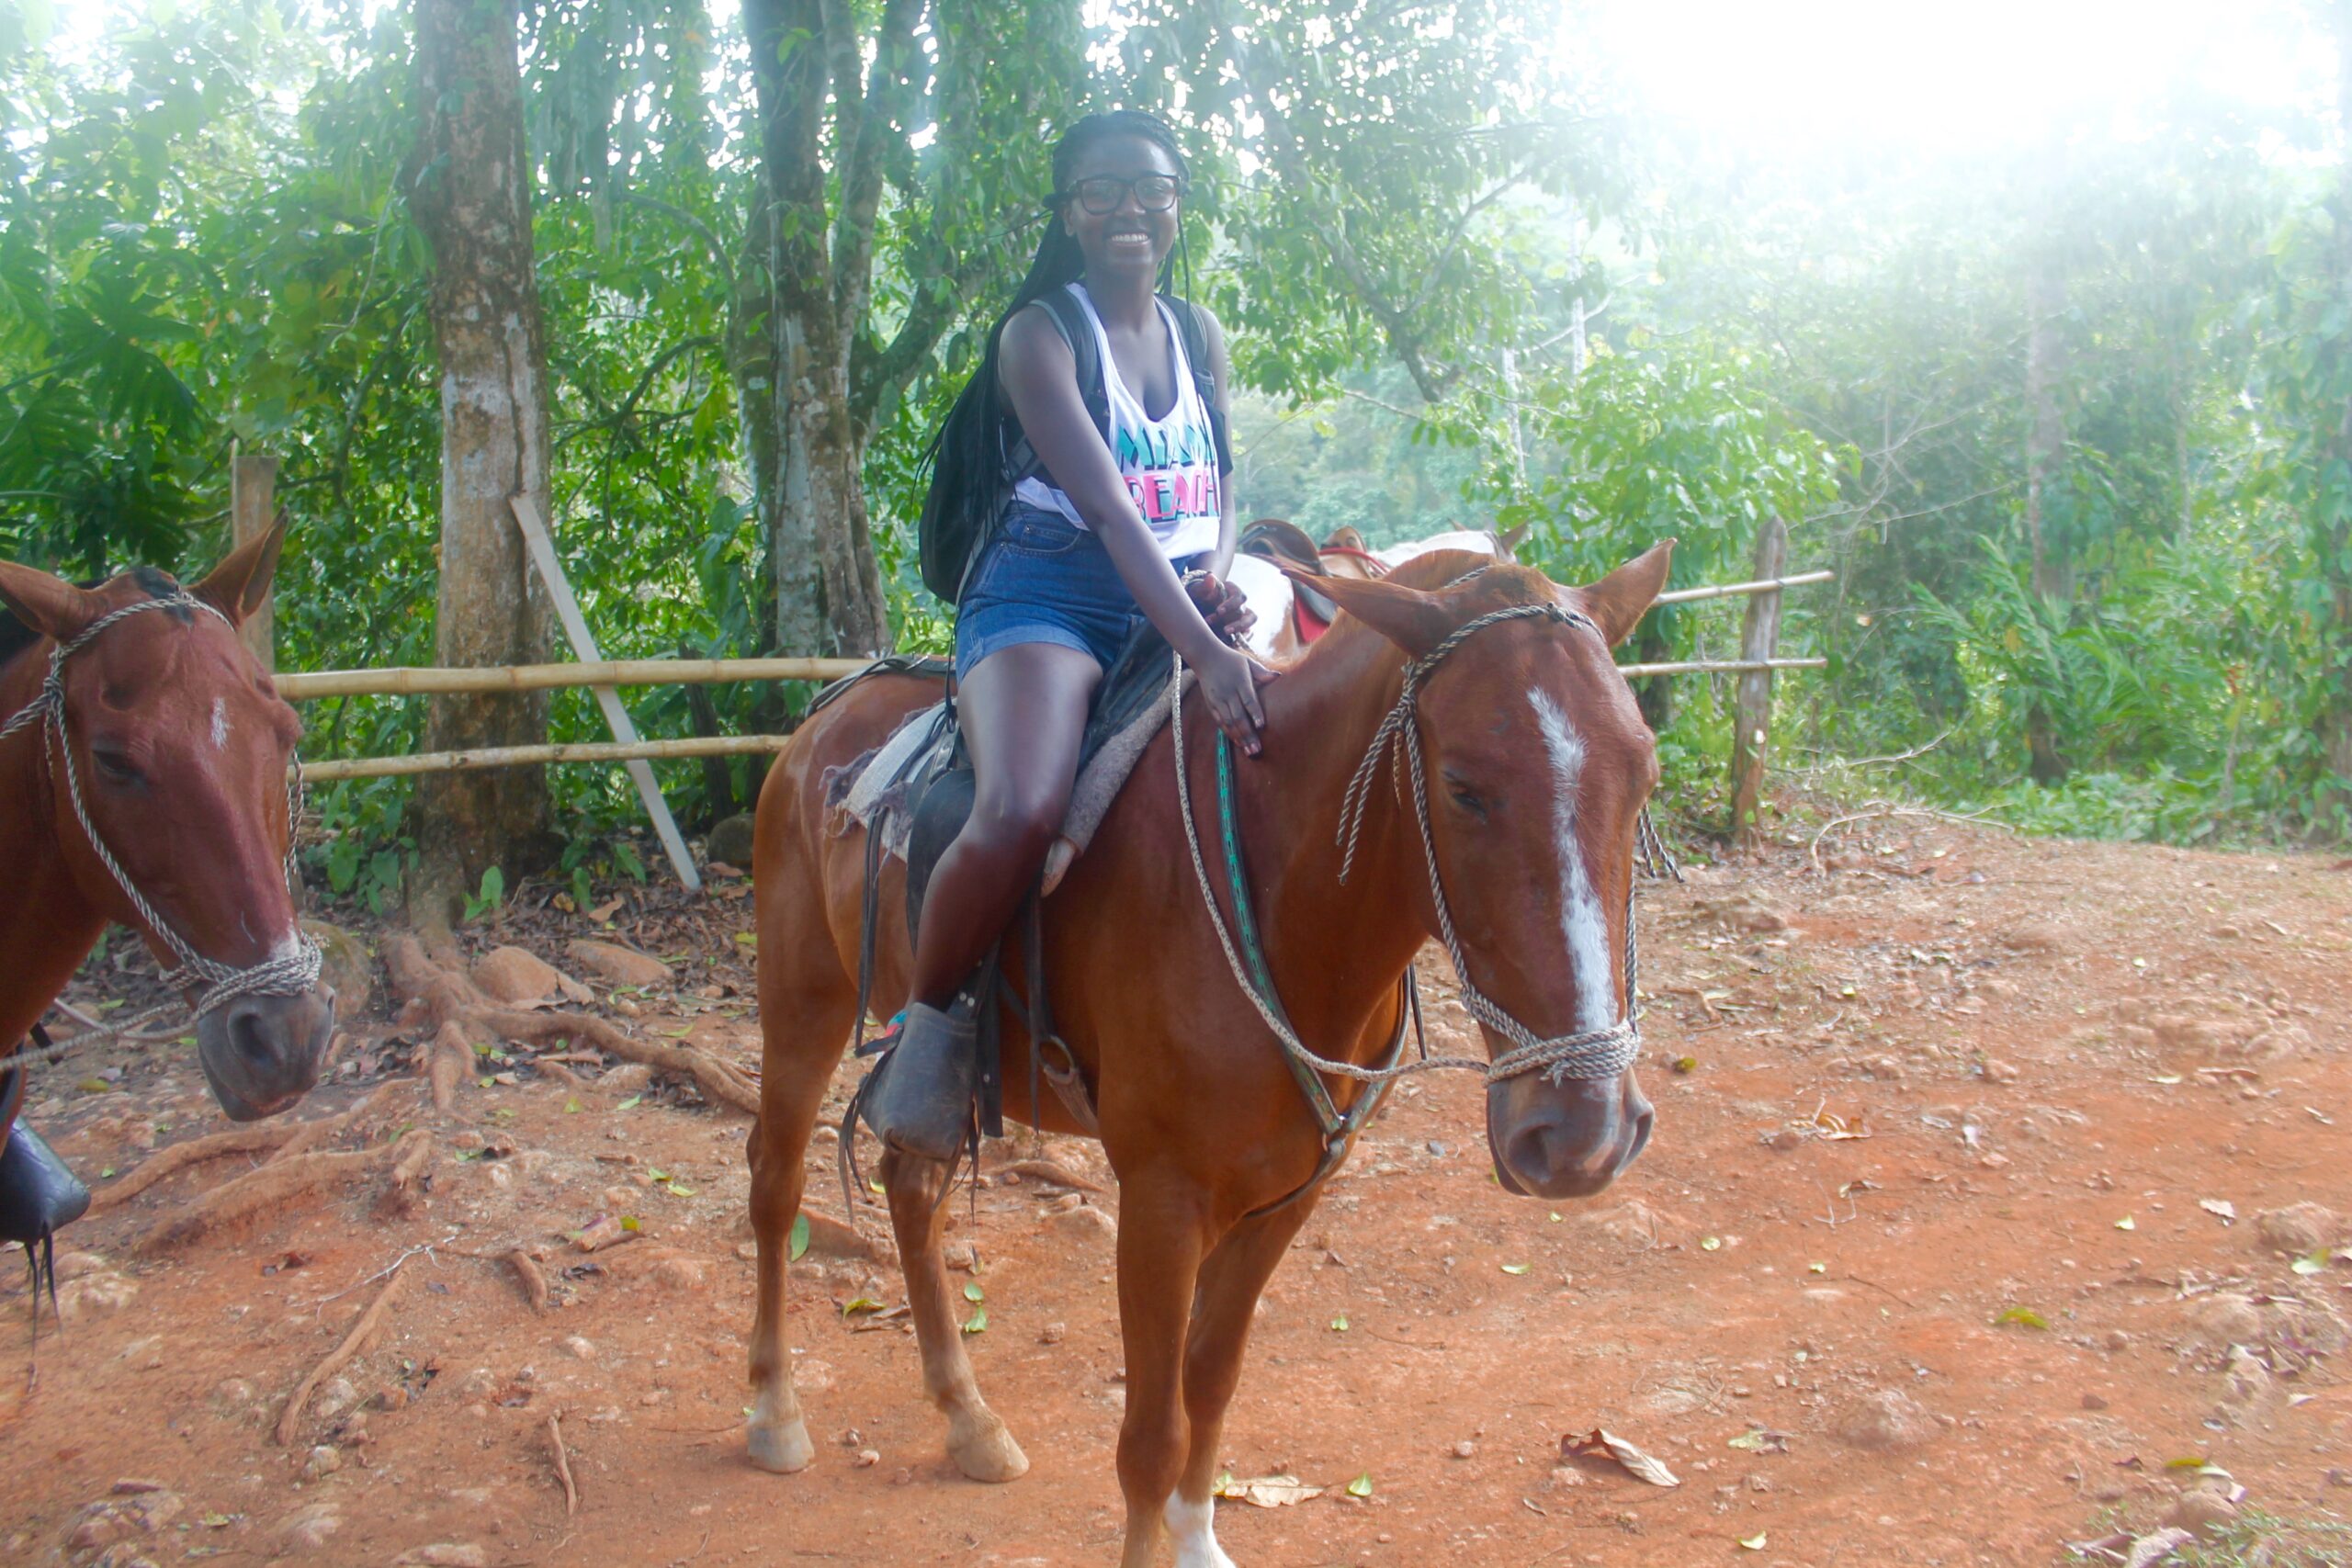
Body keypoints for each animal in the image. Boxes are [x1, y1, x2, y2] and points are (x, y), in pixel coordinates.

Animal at [742, 545, 1665, 1561]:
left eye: (1644, 776)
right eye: (1463, 787)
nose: (1582, 1134)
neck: (1279, 890)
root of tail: (829, 712)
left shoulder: (1292, 1192)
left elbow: (1213, 1381)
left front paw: (1194, 1535)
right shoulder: (1160, 1201)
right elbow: (1150, 1436)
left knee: (911, 1187)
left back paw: (968, 1418)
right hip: (801, 1003)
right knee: (775, 1181)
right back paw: (774, 1410)